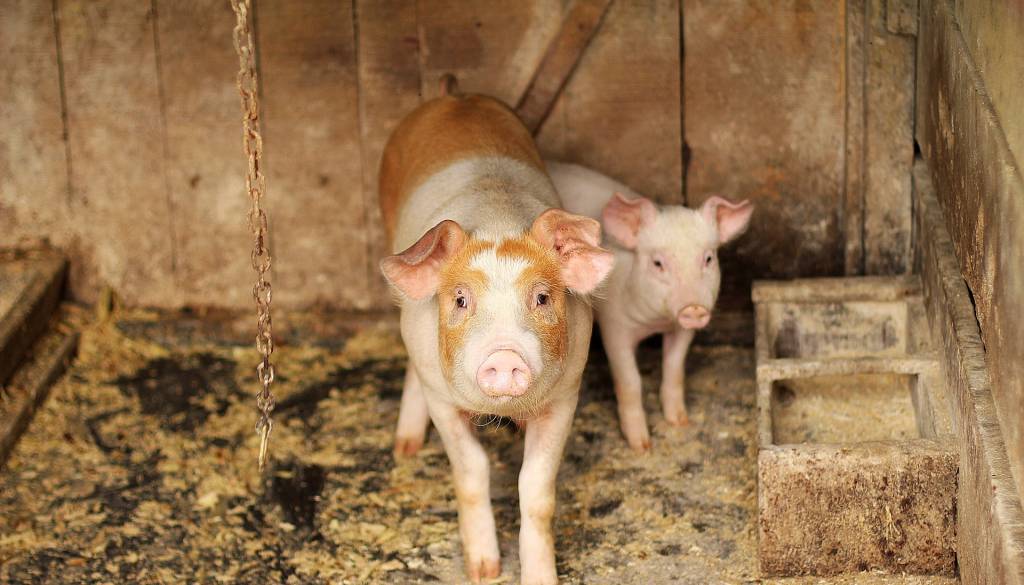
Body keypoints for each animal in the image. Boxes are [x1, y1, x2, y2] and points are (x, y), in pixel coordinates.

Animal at [378, 78, 614, 584]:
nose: (504, 355)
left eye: (541, 298)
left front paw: (541, 578)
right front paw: (484, 571)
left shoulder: (567, 394)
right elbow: (472, 472)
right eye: (460, 299)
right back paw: (406, 448)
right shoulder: (442, 399)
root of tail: (455, 95)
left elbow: (536, 490)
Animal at [547, 161, 753, 452]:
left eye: (709, 258)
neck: (655, 322)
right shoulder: (614, 326)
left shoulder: (682, 328)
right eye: (657, 263)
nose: (694, 308)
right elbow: (630, 380)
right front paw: (641, 446)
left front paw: (680, 422)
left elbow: (674, 367)